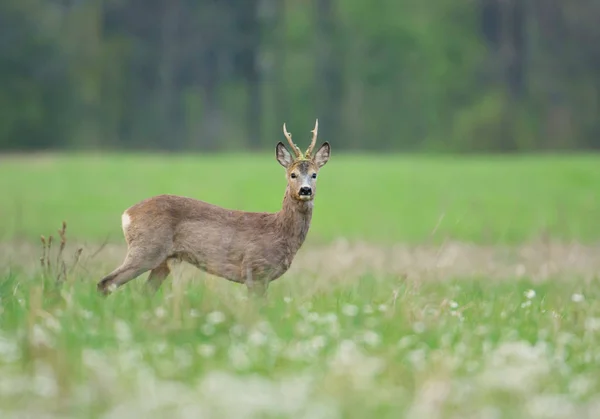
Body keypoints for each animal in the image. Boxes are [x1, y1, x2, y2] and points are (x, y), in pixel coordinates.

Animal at [99, 120, 332, 296]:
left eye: (314, 174)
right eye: (292, 174)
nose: (305, 190)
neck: (280, 230)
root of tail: (127, 214)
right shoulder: (254, 270)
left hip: (162, 260)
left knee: (143, 293)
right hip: (146, 249)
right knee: (106, 283)